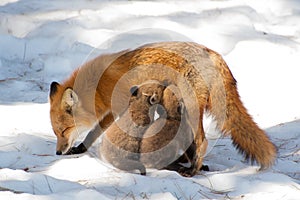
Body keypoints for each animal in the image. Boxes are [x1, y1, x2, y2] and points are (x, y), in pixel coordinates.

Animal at [49, 41, 276, 176]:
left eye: (64, 130)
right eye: (56, 132)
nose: (58, 152)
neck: (99, 85)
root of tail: (213, 54)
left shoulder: (117, 109)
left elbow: (95, 132)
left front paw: (83, 147)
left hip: (190, 108)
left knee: (202, 141)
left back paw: (193, 169)